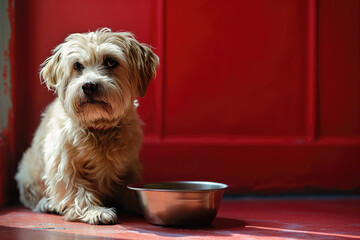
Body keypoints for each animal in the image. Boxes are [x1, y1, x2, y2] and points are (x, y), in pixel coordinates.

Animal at [15, 28, 159, 225]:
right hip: (28, 171)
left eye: (110, 61)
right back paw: (48, 204)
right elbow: (76, 189)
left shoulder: (130, 165)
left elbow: (131, 187)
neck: (98, 128)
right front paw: (94, 211)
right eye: (77, 65)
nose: (89, 85)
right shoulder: (63, 164)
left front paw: (140, 205)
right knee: (32, 198)